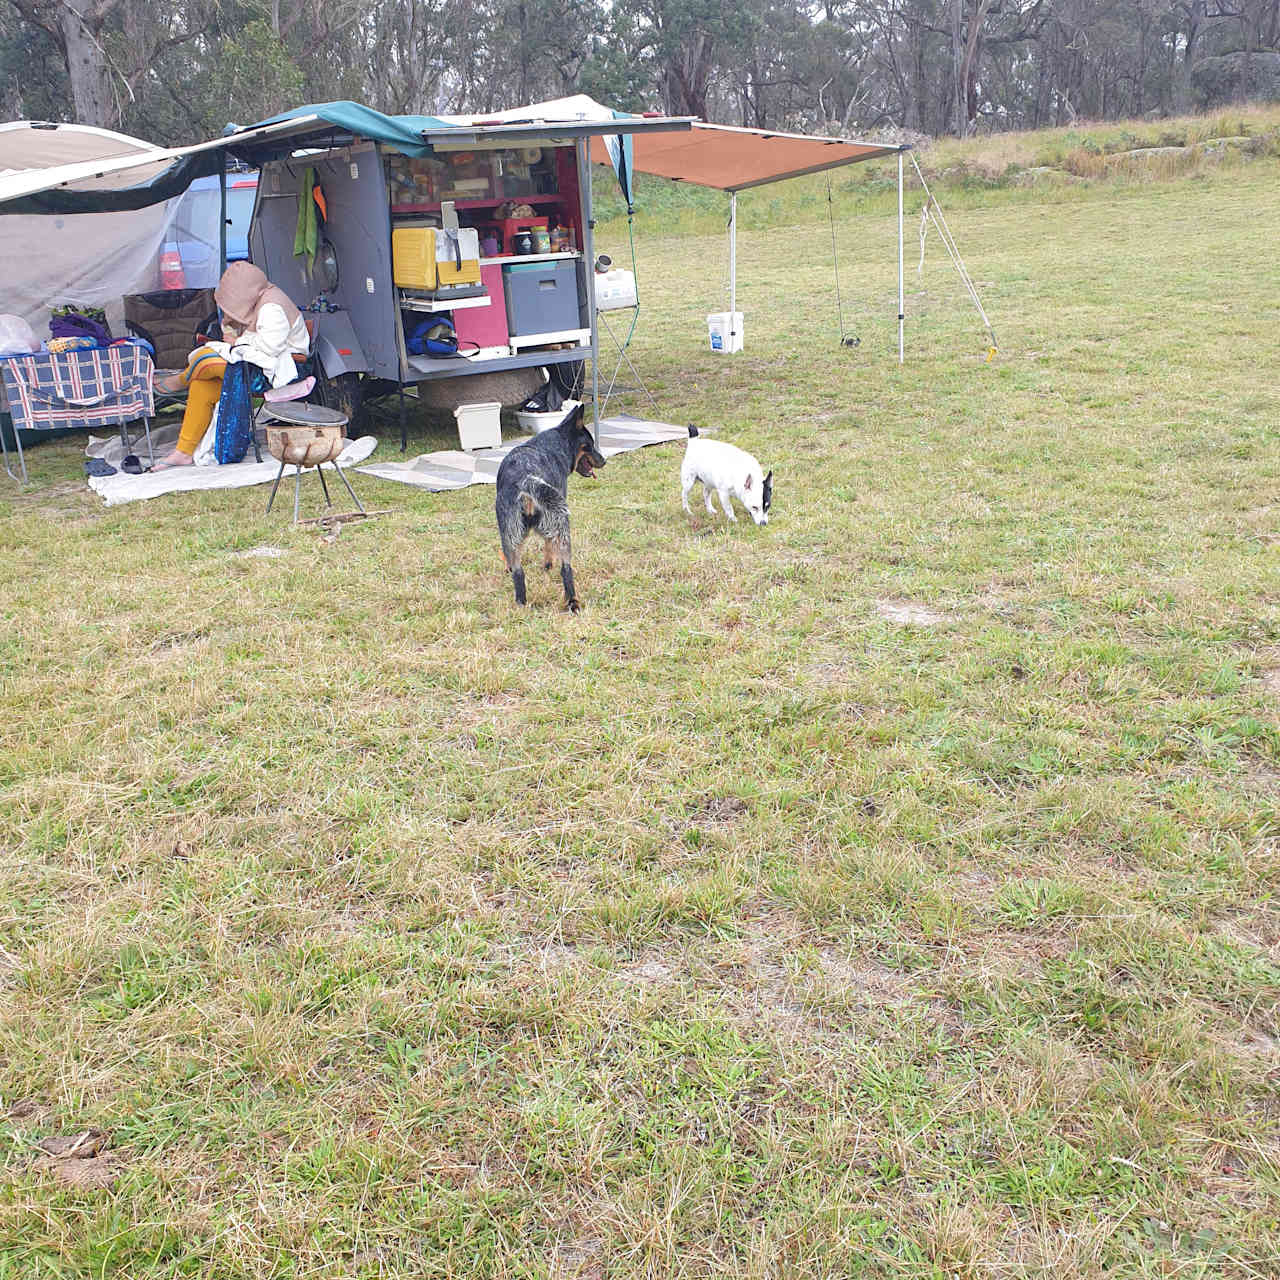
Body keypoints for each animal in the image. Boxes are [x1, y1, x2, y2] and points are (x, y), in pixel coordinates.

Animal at [494, 404, 604, 614]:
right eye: (590, 444)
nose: (604, 460)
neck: (555, 442)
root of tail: (526, 479)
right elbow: (548, 545)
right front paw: (547, 565)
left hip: (510, 533)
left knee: (519, 573)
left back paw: (522, 602)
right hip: (561, 526)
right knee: (566, 569)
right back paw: (572, 601)